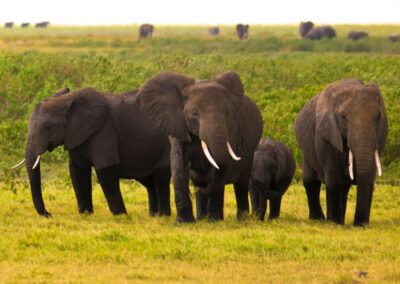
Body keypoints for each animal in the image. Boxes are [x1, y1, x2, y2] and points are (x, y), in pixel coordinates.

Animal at [18, 87, 171, 216]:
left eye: (48, 127)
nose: (49, 214)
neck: (67, 101)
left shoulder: (104, 131)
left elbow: (105, 169)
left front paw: (121, 216)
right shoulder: (76, 136)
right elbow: (77, 170)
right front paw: (85, 214)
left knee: (161, 178)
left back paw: (163, 217)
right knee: (149, 182)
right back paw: (153, 216)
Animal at [136, 70, 264, 222]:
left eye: (227, 113)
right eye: (195, 113)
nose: (195, 191)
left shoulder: (231, 129)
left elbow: (219, 169)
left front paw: (214, 221)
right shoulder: (178, 127)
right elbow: (178, 165)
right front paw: (184, 222)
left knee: (241, 185)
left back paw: (239, 219)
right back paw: (201, 217)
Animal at [294, 78, 388, 226]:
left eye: (378, 117)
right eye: (343, 117)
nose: (359, 224)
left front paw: (360, 225)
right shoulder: (326, 134)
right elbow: (333, 179)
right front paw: (334, 223)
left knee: (344, 187)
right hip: (306, 148)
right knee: (311, 181)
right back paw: (319, 219)